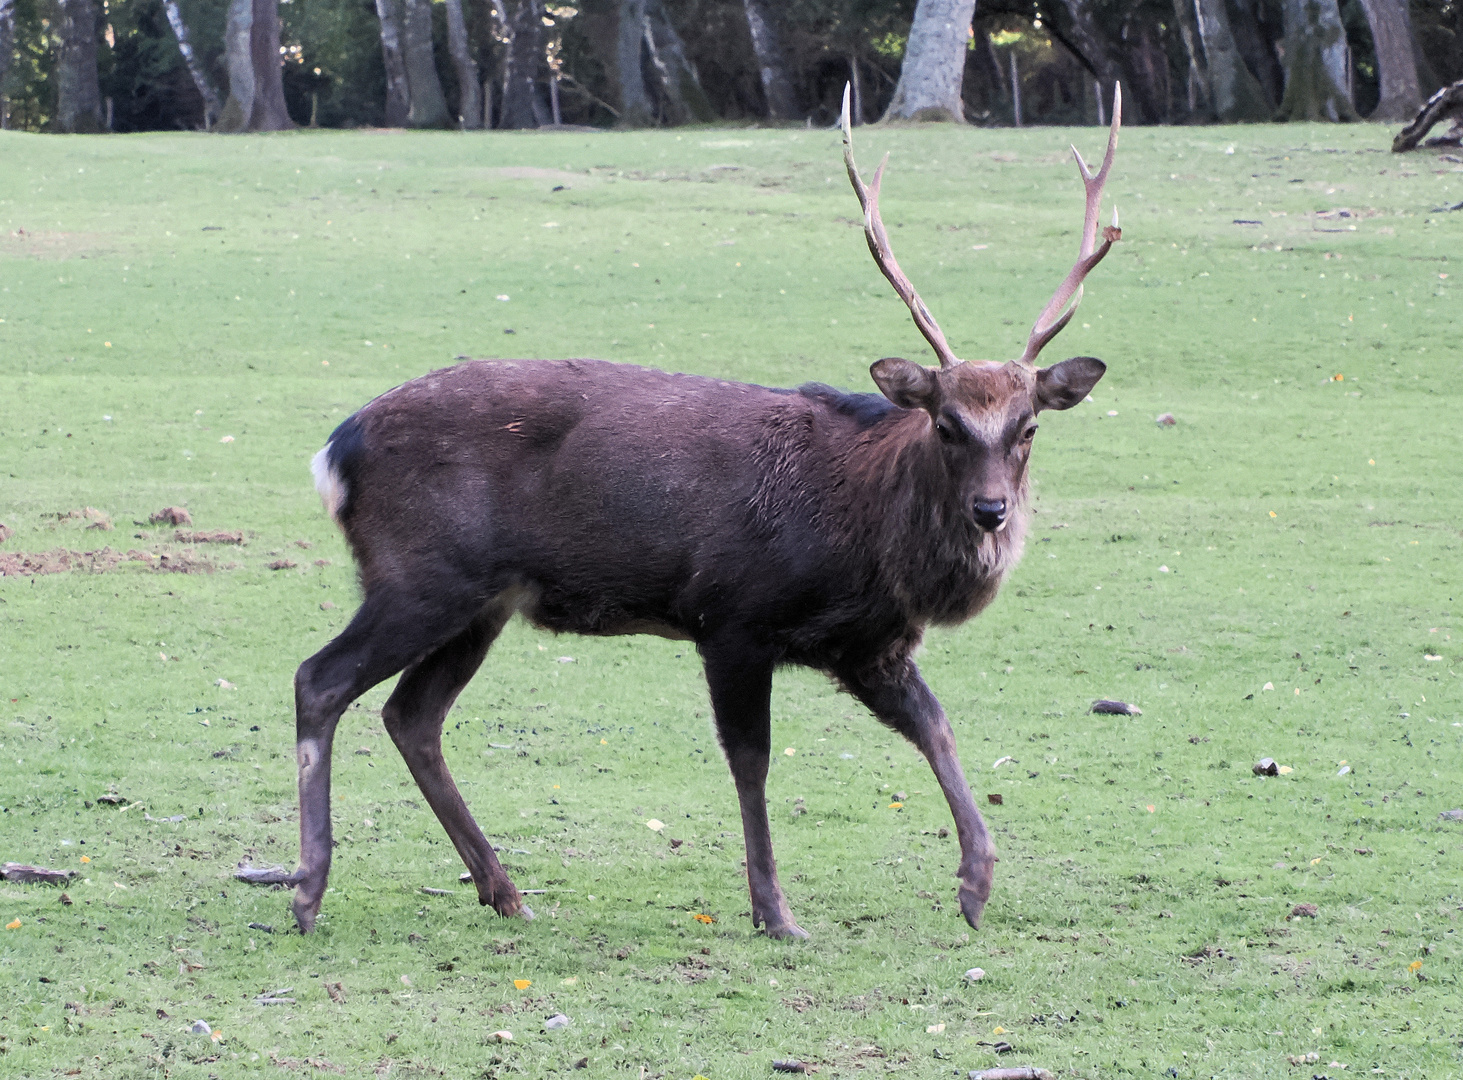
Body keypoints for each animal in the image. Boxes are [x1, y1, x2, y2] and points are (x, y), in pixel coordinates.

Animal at [239, 84, 1123, 936]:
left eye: (1027, 426)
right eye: (944, 423)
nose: (990, 512)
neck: (867, 543)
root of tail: (335, 452)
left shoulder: (869, 646)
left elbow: (937, 727)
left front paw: (975, 884)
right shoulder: (731, 616)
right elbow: (751, 760)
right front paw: (775, 911)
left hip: (481, 601)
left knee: (411, 714)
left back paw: (504, 890)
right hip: (421, 574)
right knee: (321, 679)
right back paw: (308, 890)